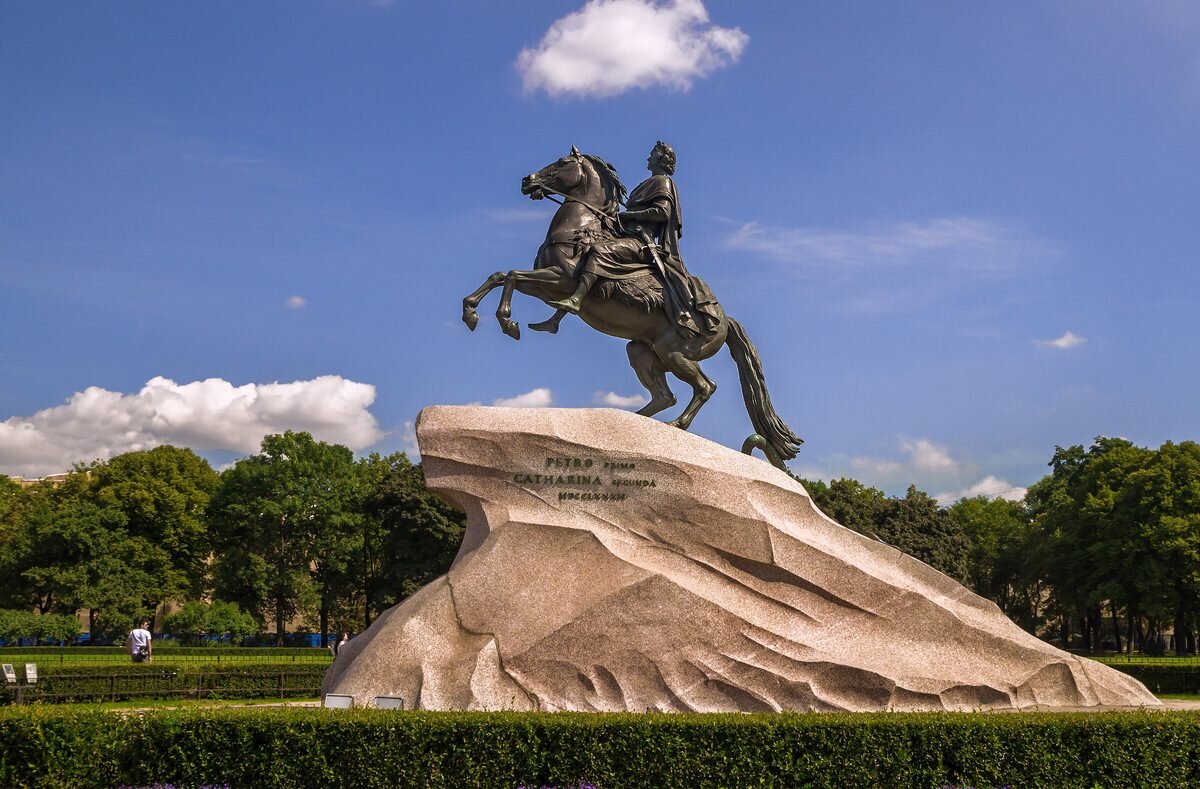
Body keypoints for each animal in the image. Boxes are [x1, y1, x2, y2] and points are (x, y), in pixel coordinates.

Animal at [460, 147, 806, 460]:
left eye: (561, 162)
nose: (527, 181)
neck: (581, 226)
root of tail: (724, 318)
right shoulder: (545, 285)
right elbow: (501, 275)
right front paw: (471, 312)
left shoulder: (560, 279)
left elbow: (513, 276)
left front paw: (507, 321)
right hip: (642, 351)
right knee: (665, 396)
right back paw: (632, 423)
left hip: (675, 352)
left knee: (705, 387)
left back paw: (676, 425)